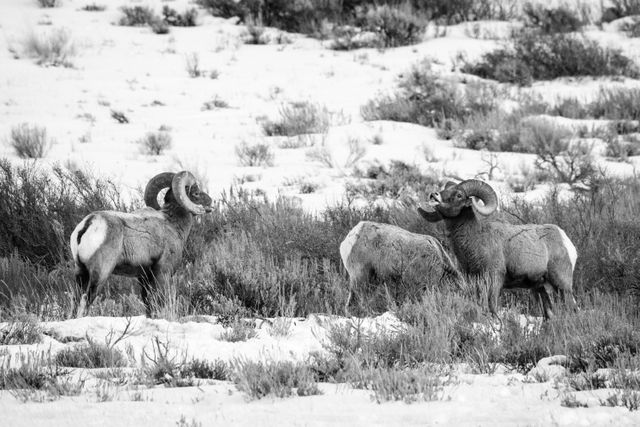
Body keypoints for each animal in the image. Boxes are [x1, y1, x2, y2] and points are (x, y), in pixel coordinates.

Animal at [69, 171, 211, 318]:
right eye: (196, 193)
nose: (210, 202)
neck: (172, 224)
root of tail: (89, 223)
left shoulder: (144, 277)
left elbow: (148, 304)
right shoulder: (162, 274)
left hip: (81, 272)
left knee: (76, 299)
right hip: (100, 274)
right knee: (87, 298)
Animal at [418, 179, 576, 320]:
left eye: (459, 195)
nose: (434, 195)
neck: (476, 238)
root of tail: (565, 241)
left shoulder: (494, 279)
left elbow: (492, 307)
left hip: (562, 285)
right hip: (540, 288)